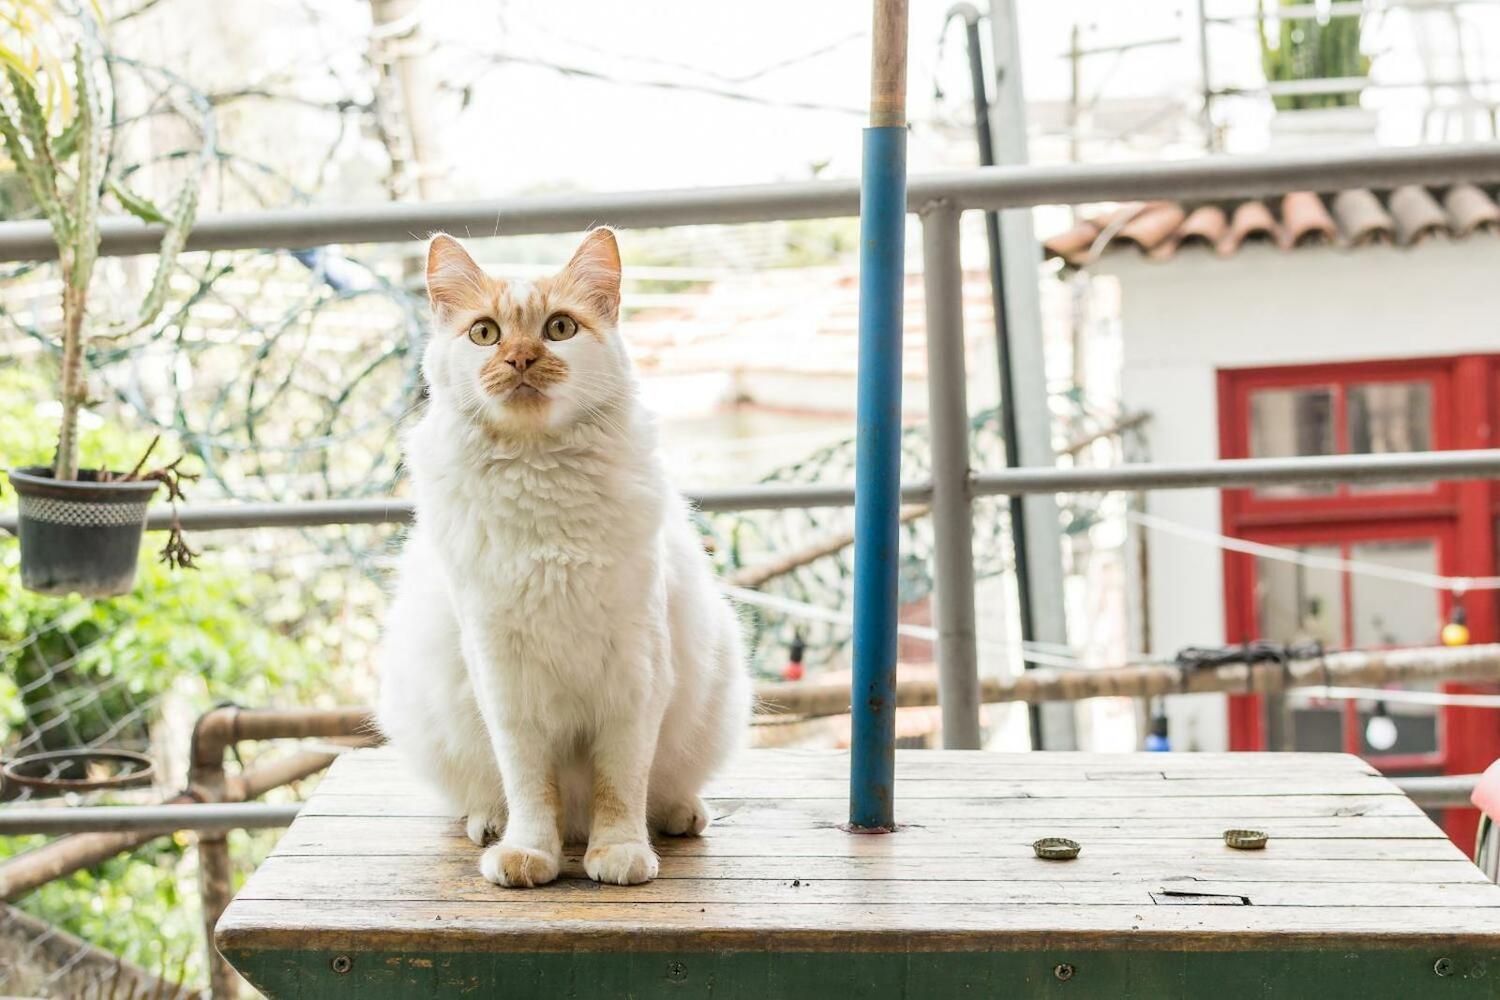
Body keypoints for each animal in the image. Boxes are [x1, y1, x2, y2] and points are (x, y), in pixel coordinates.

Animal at [375, 230, 750, 887]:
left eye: (559, 329)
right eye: (485, 334)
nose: (521, 360)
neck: (539, 474)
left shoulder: (634, 671)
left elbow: (619, 785)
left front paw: (619, 855)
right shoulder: (503, 678)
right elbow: (530, 786)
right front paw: (530, 855)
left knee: (664, 791)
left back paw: (680, 816)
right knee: (489, 795)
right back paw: (490, 826)